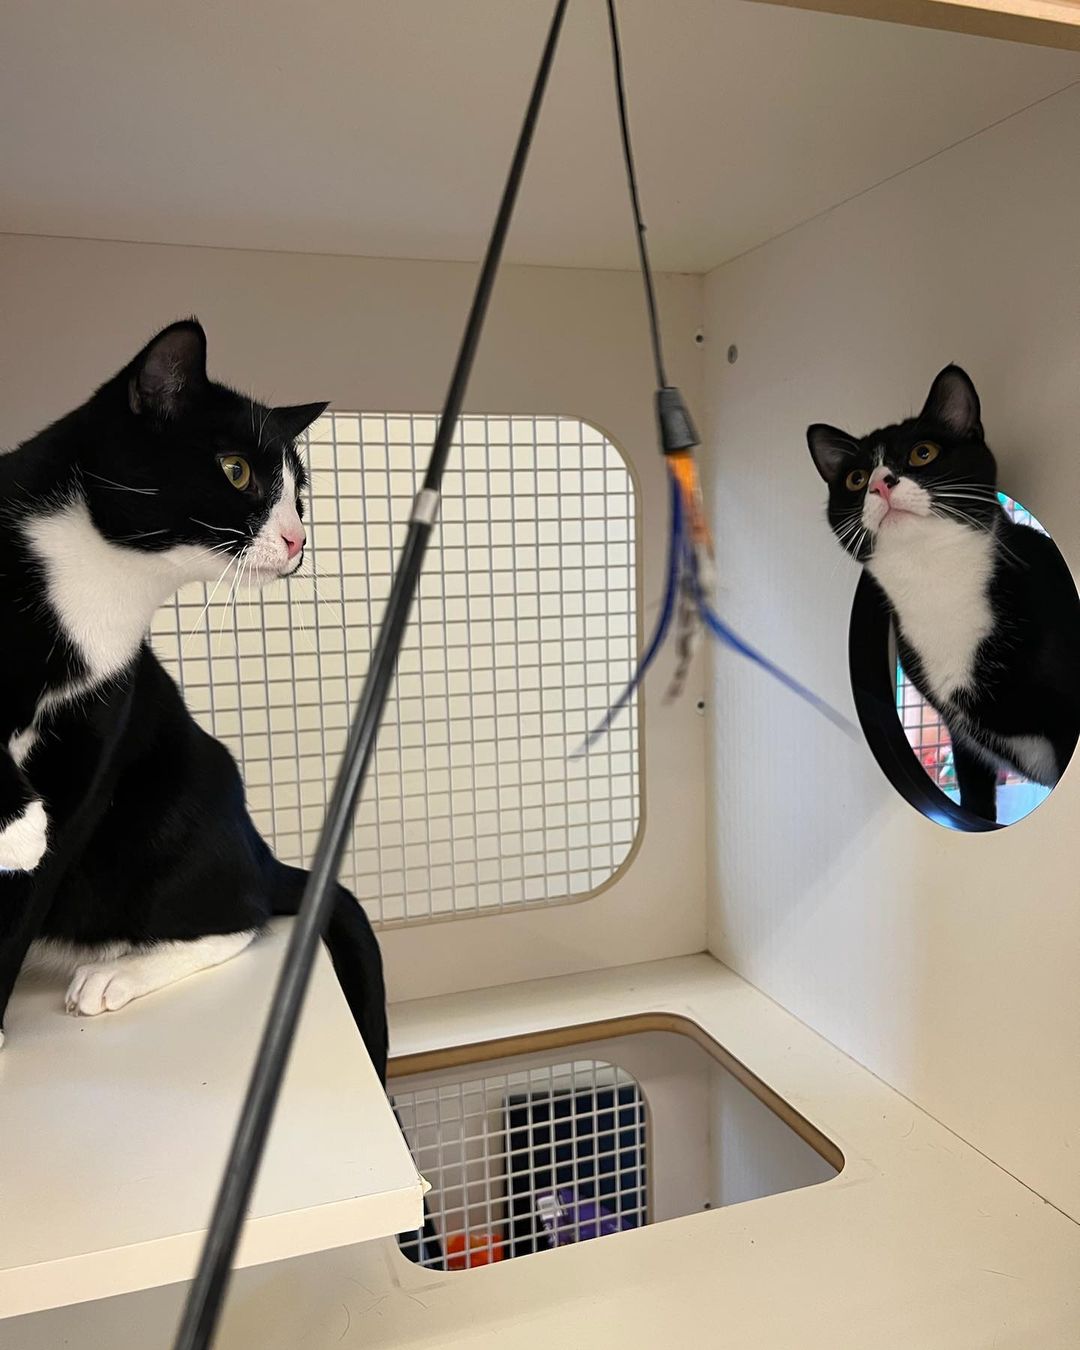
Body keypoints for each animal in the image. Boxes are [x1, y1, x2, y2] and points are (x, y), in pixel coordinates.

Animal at [0, 318, 388, 1074]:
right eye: (236, 471)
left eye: (299, 493)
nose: (299, 538)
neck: (96, 582)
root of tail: (260, 849)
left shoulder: (97, 733)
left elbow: (37, 871)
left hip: (182, 794)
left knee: (245, 912)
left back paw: (118, 971)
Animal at [804, 361, 1080, 820]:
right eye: (856, 478)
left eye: (923, 453)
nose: (880, 483)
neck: (936, 583)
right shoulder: (963, 738)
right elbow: (975, 798)